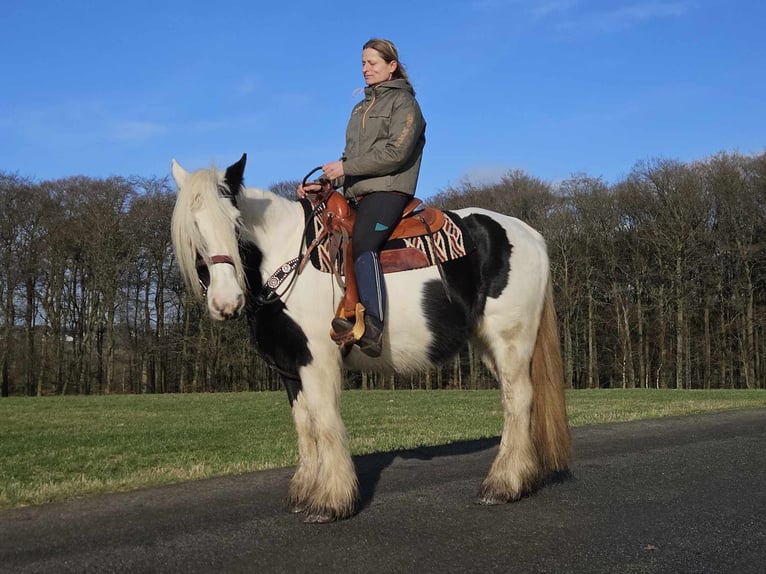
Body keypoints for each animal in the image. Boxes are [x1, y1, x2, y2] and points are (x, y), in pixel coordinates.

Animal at [171, 154, 572, 528]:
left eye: (236, 224)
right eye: (194, 231)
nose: (226, 303)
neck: (288, 257)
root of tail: (530, 234)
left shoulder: (317, 360)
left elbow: (324, 421)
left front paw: (329, 502)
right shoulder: (289, 366)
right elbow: (304, 424)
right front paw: (303, 492)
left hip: (510, 340)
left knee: (518, 400)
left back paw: (503, 485)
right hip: (490, 344)